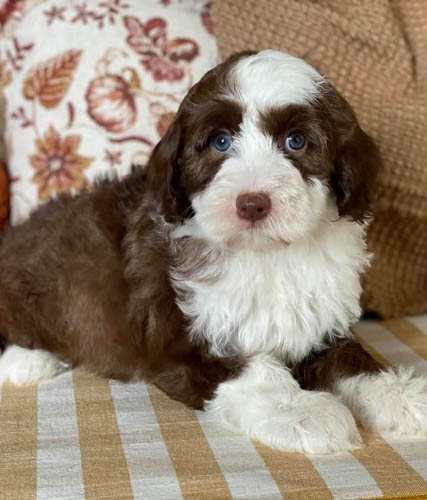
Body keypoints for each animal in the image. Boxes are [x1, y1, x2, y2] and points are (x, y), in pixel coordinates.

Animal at [0, 50, 427, 454]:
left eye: (296, 141)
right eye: (221, 141)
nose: (252, 203)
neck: (265, 255)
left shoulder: (321, 321)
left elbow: (354, 359)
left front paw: (399, 395)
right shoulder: (179, 340)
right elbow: (257, 371)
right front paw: (302, 412)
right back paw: (28, 360)